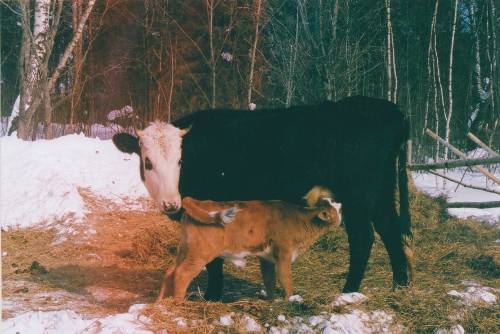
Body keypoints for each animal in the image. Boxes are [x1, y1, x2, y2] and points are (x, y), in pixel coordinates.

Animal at [157, 193, 344, 300]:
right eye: (337, 211)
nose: (342, 210)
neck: (299, 219)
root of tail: (198, 201)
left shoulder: (267, 257)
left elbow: (269, 279)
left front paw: (270, 301)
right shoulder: (284, 253)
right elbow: (286, 279)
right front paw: (290, 300)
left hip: (185, 248)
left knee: (170, 271)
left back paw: (160, 303)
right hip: (199, 253)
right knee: (182, 274)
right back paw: (179, 303)